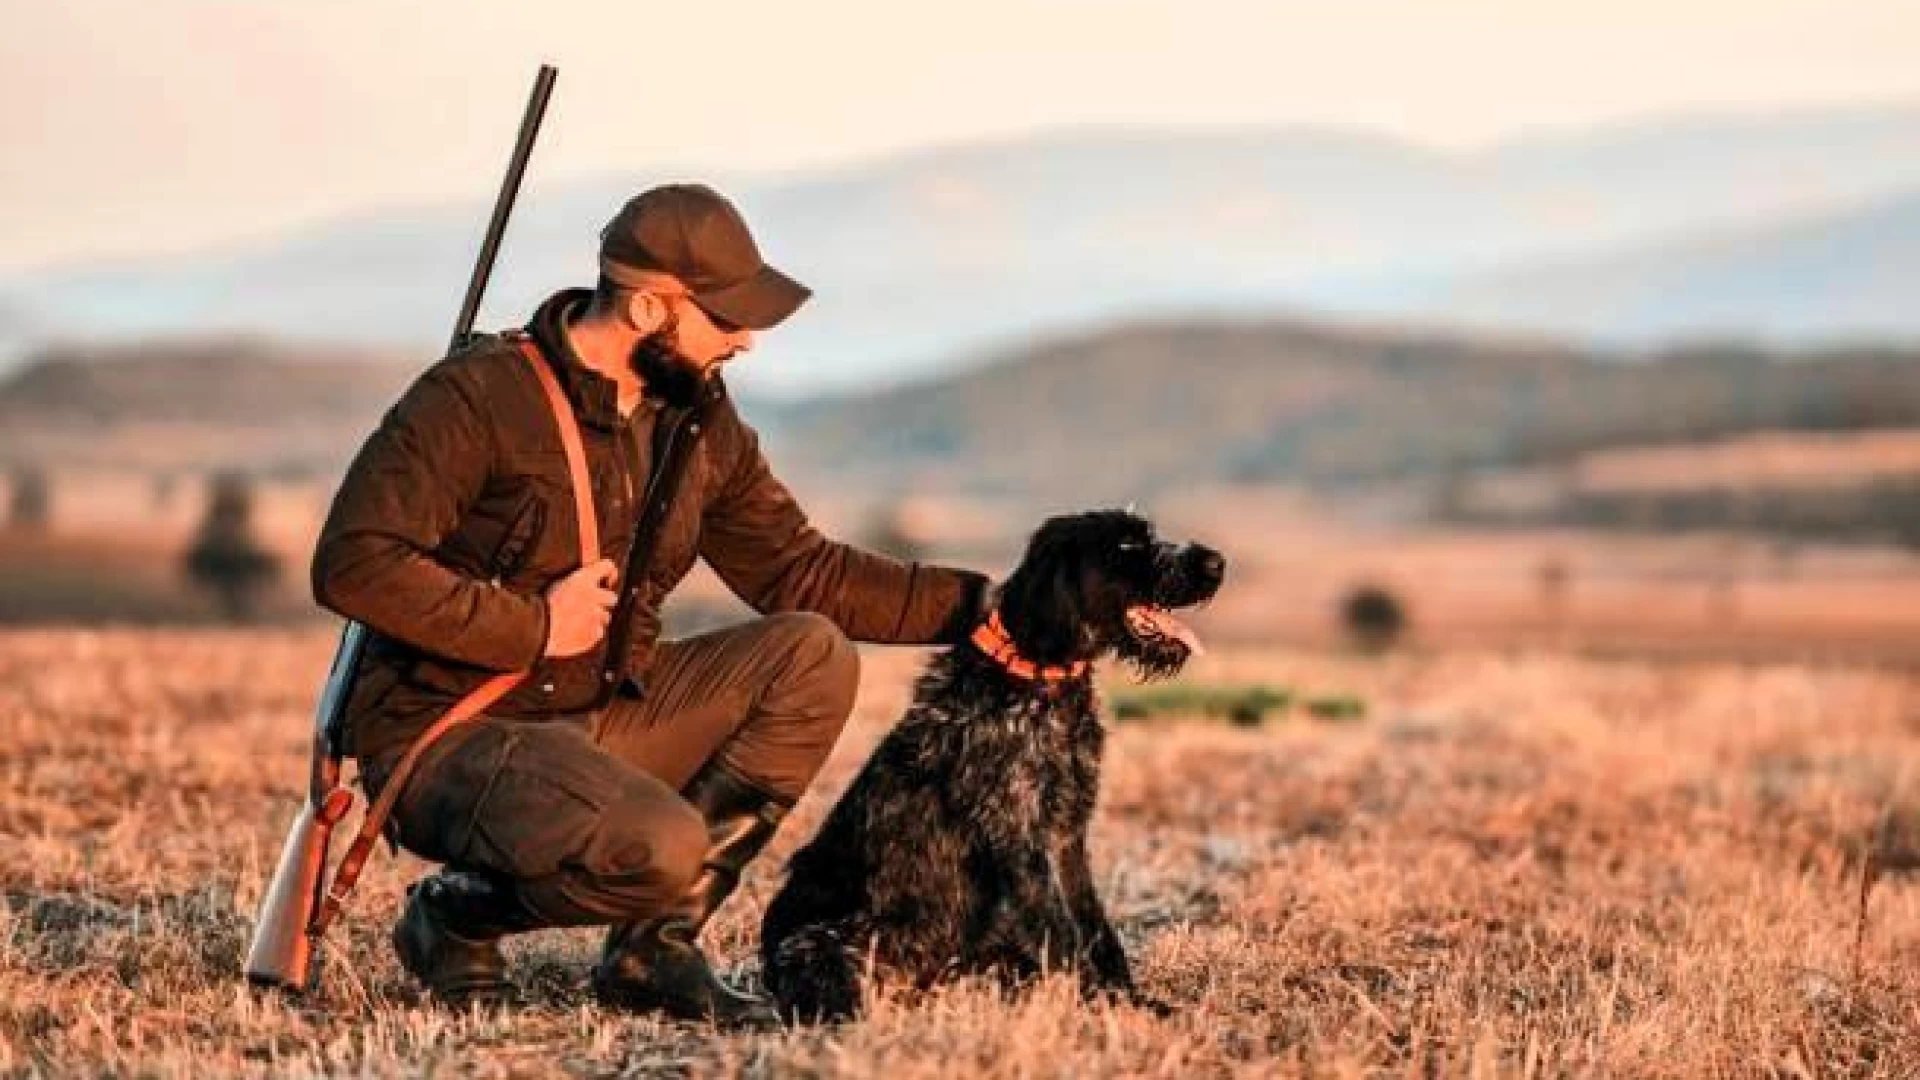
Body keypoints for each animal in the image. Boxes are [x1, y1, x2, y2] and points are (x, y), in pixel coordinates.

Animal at [756, 507, 1221, 1014]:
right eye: (1127, 545)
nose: (1215, 563)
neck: (1037, 677)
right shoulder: (1020, 838)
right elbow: (1063, 935)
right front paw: (1098, 1003)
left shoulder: (1067, 836)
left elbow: (1096, 930)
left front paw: (1129, 1000)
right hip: (818, 945)